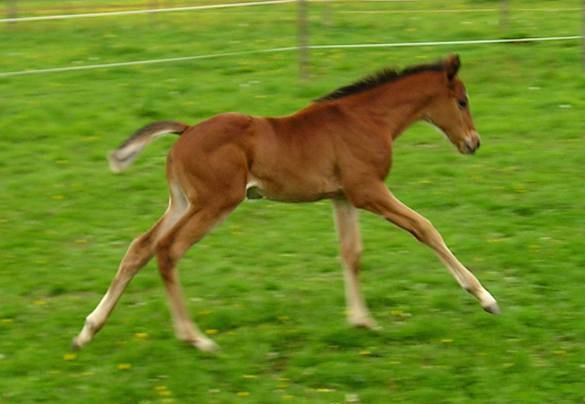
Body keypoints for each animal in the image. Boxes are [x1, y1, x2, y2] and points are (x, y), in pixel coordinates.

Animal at [74, 55, 498, 352]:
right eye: (462, 101)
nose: (473, 143)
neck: (368, 119)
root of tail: (187, 131)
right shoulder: (368, 190)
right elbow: (425, 227)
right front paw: (486, 299)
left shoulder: (342, 197)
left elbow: (352, 253)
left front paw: (362, 321)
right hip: (215, 203)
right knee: (168, 250)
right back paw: (196, 339)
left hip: (181, 202)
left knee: (140, 247)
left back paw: (88, 330)